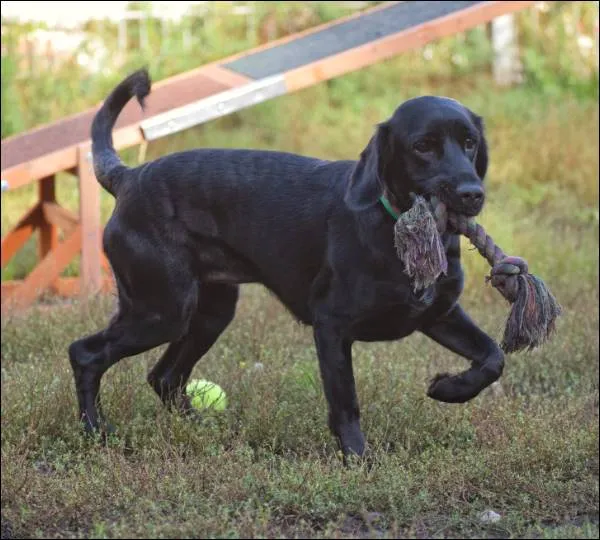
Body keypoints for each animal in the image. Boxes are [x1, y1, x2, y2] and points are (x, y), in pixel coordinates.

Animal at [68, 66, 504, 456]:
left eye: (469, 142)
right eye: (422, 146)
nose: (472, 193)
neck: (390, 224)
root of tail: (127, 177)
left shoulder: (438, 313)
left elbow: (492, 357)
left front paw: (448, 389)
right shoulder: (331, 326)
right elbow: (345, 402)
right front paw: (358, 459)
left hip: (209, 313)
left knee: (164, 376)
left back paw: (204, 430)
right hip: (162, 310)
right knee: (85, 354)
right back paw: (96, 432)